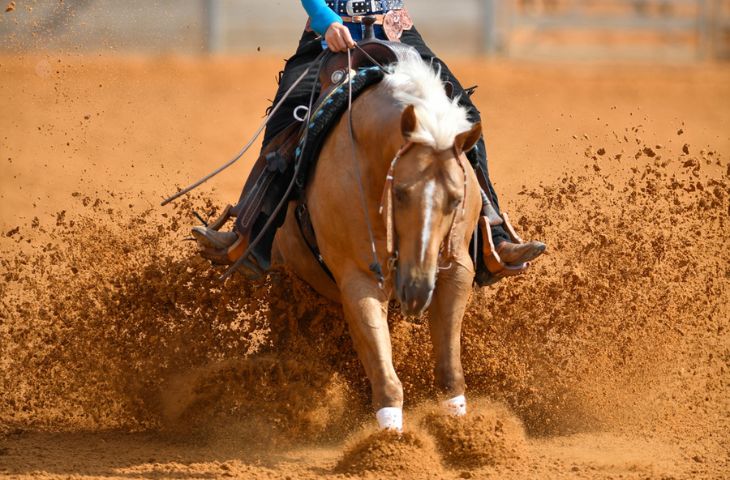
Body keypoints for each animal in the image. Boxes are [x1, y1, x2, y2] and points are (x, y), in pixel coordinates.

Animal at [271, 50, 483, 431]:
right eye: (399, 192)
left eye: (456, 199)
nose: (416, 289)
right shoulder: (360, 279)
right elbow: (386, 380)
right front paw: (391, 441)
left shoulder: (456, 270)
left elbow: (449, 371)